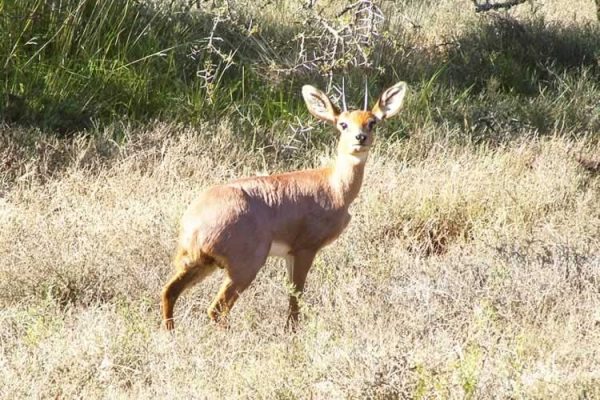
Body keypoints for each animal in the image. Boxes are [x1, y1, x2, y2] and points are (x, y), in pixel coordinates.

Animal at [161, 80, 408, 328]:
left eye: (372, 122)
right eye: (343, 124)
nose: (360, 138)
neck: (334, 186)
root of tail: (193, 222)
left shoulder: (289, 254)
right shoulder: (305, 249)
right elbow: (296, 294)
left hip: (200, 263)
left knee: (169, 291)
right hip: (244, 267)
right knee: (216, 309)